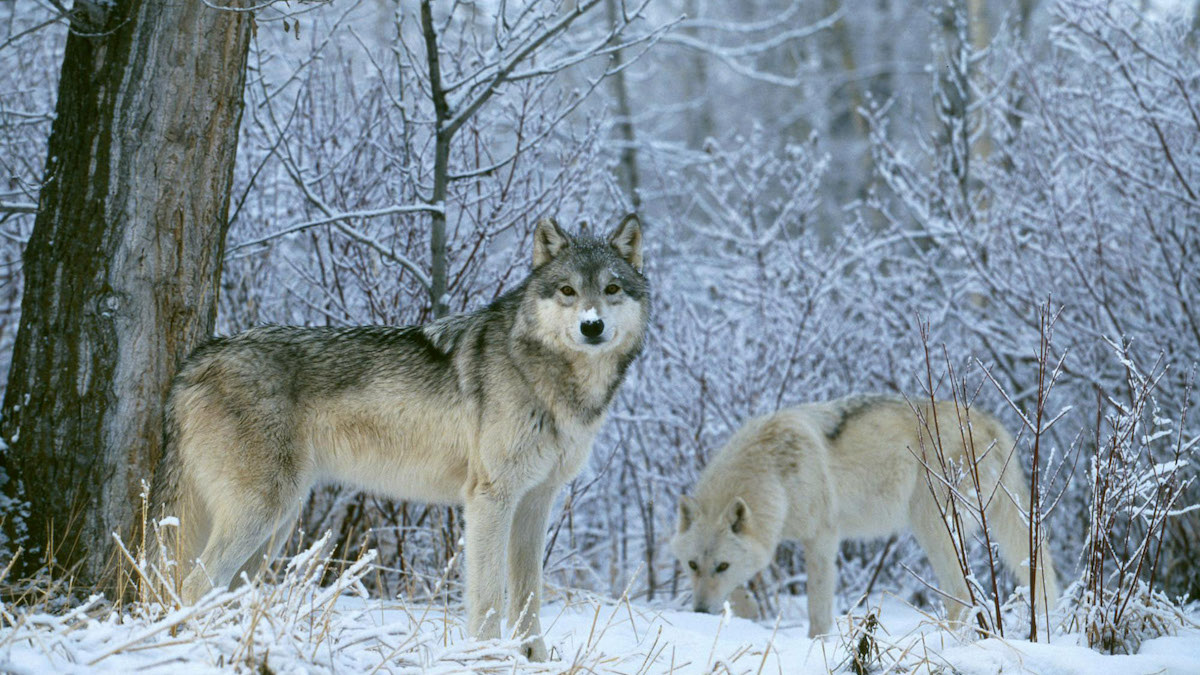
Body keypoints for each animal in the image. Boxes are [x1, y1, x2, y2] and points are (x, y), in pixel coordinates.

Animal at [148, 215, 648, 661]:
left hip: (276, 525)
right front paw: (487, 658)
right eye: (568, 291)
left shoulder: (535, 501)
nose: (591, 326)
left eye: (611, 289)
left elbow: (528, 598)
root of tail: (195, 360)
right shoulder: (490, 498)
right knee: (193, 583)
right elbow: (488, 597)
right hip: (263, 513)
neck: (552, 379)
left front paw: (532, 659)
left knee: (224, 590)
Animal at [670, 395, 1059, 637]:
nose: (699, 611)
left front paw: (816, 644)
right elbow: (742, 589)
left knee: (961, 597)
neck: (773, 473)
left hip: (932, 529)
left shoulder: (822, 539)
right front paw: (748, 612)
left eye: (721, 566)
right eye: (692, 565)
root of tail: (991, 423)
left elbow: (818, 610)